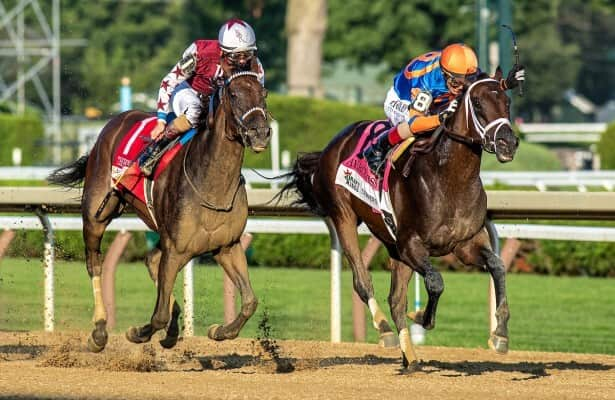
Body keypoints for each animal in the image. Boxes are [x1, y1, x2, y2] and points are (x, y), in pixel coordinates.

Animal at [48, 70, 270, 352]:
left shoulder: (226, 246)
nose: (261, 132)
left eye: (264, 93)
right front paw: (137, 332)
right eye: (233, 94)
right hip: (96, 213)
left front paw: (219, 330)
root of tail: (118, 119)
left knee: (152, 261)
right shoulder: (176, 248)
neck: (212, 184)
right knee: (94, 263)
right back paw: (99, 330)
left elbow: (250, 301)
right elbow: (159, 314)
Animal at [280, 69, 520, 368]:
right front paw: (422, 318)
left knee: (395, 299)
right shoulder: (411, 244)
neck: (450, 179)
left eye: (507, 102)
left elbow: (497, 266)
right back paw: (385, 331)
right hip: (344, 217)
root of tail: (331, 145)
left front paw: (500, 334)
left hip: (391, 241)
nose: (508, 143)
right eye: (476, 103)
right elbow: (435, 282)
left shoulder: (465, 244)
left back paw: (410, 356)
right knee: (362, 281)